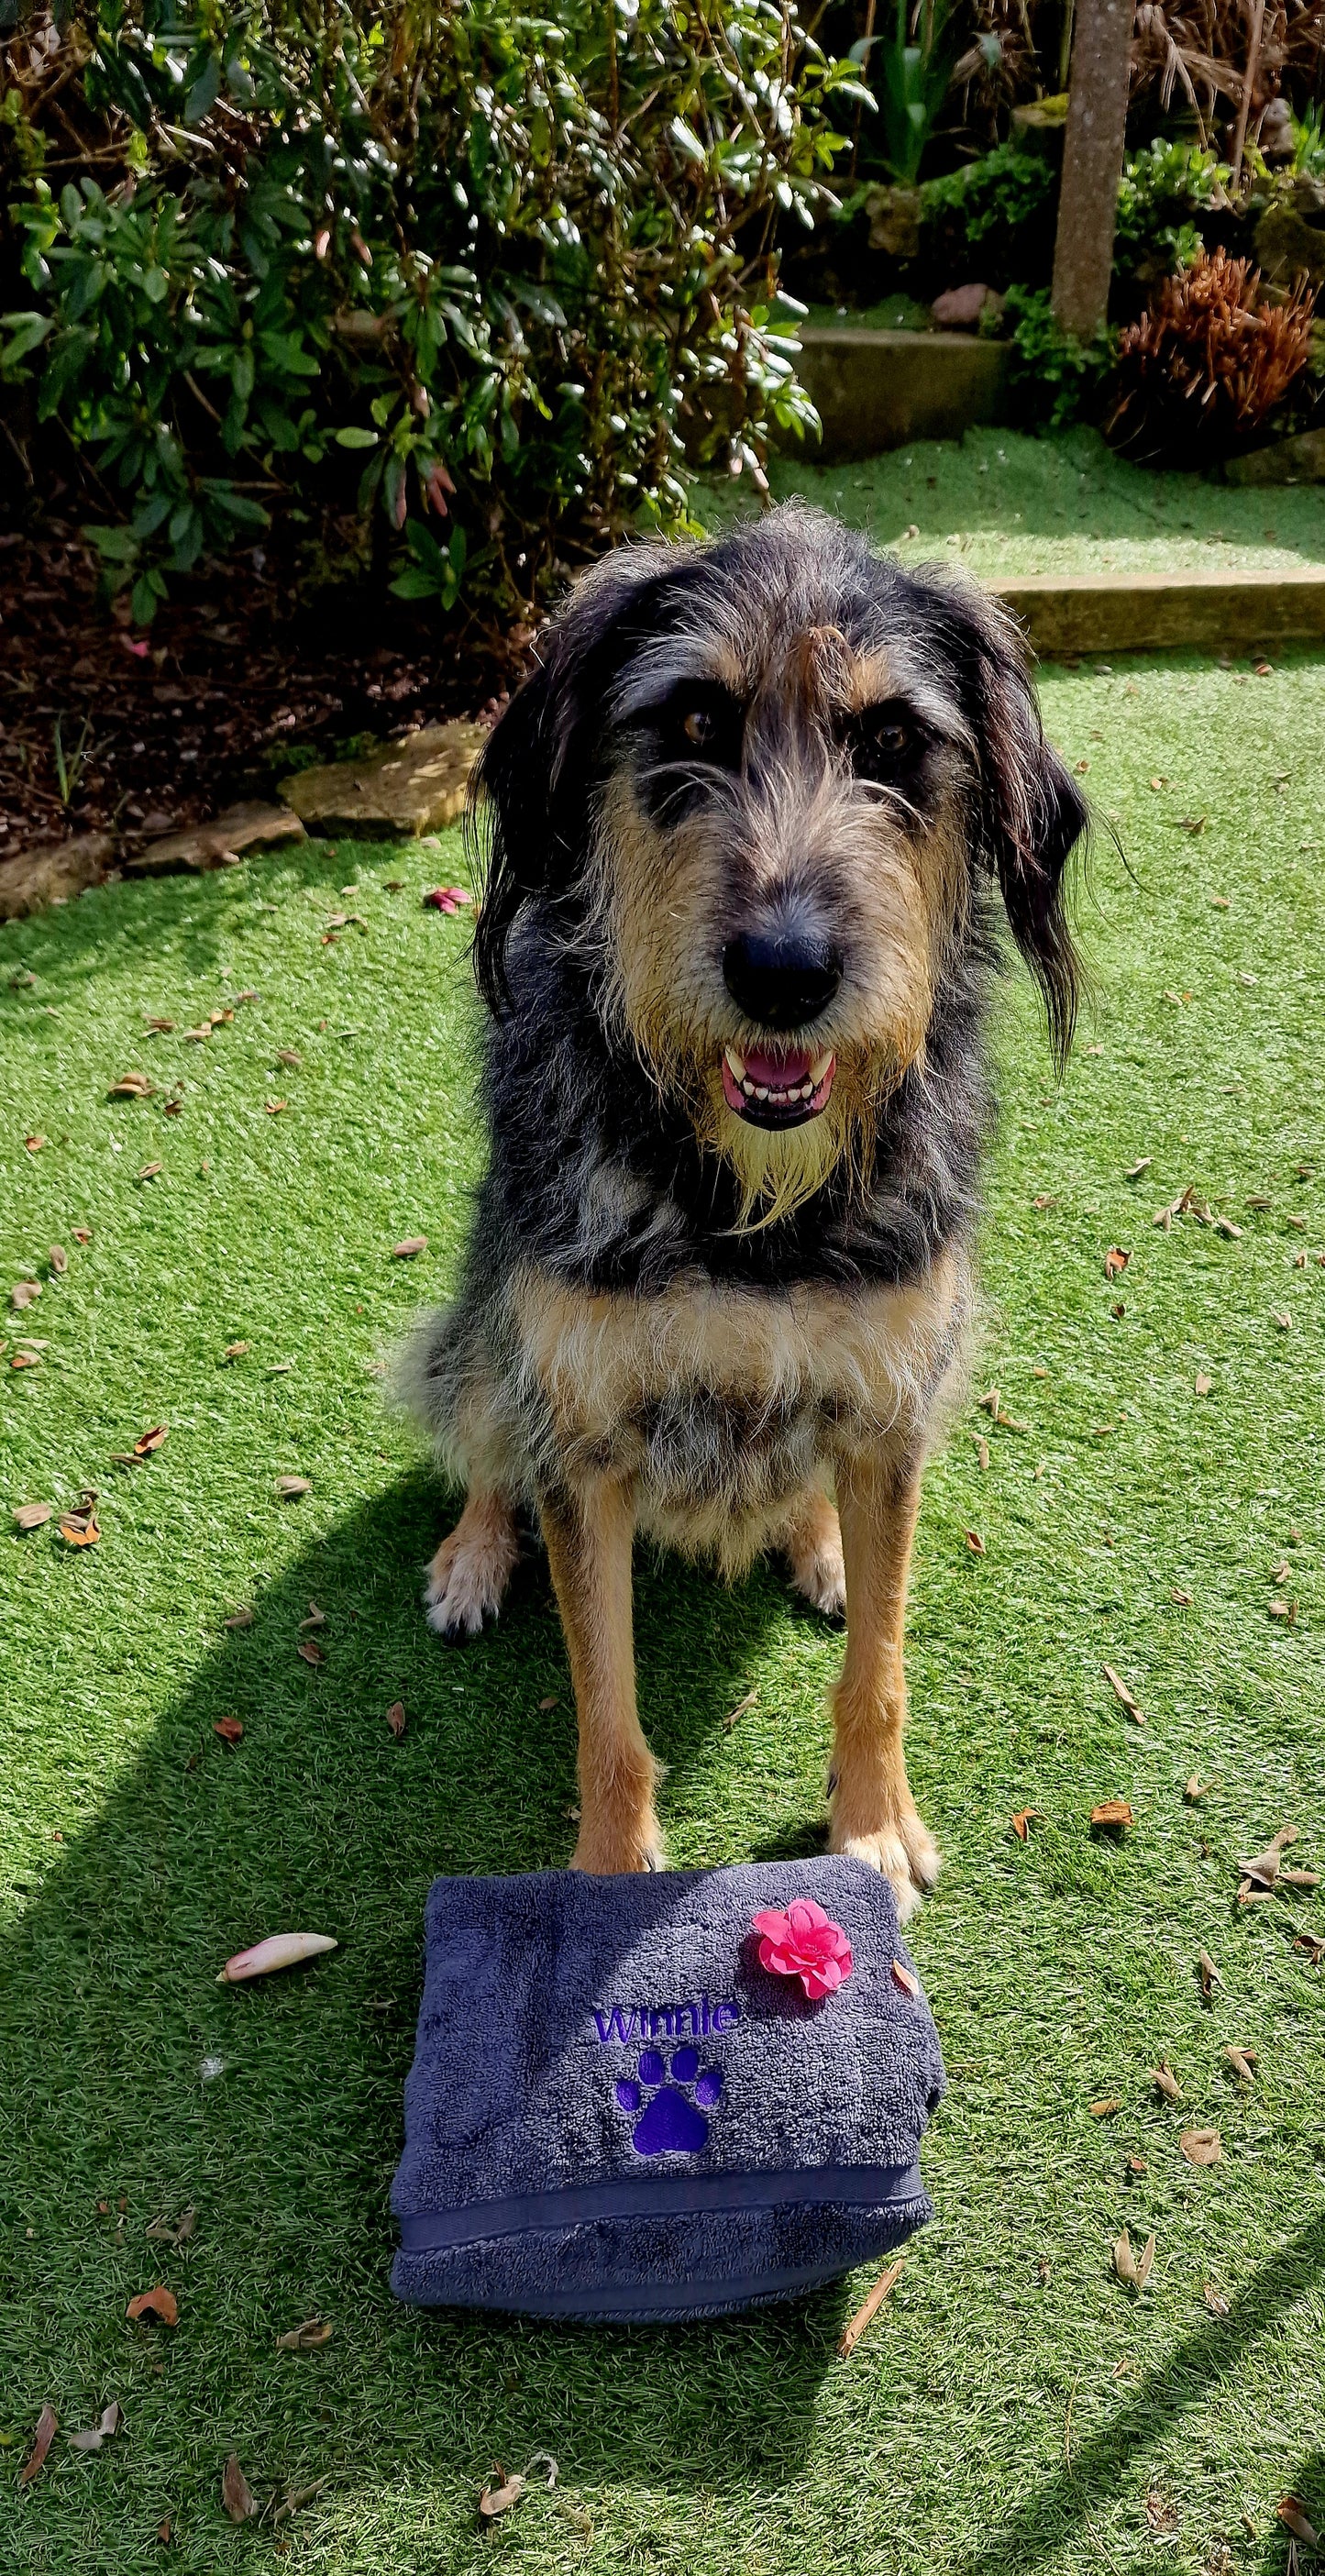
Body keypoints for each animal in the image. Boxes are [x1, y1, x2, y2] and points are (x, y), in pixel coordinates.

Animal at [402, 497, 1082, 1916]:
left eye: (893, 741)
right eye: (694, 723)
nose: (783, 973)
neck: (746, 1204)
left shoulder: (894, 1401)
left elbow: (879, 1666)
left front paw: (870, 1830)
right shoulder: (582, 1431)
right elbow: (606, 1709)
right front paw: (606, 1875)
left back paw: (816, 1541)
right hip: (486, 1324)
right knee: (482, 1431)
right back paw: (473, 1553)